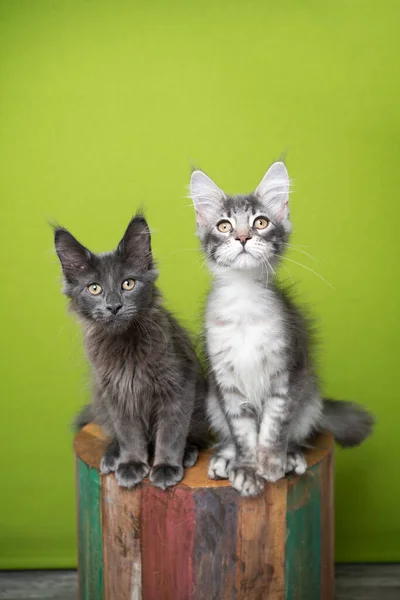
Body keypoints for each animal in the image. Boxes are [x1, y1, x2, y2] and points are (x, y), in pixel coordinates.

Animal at [54, 213, 208, 490]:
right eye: (94, 288)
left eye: (128, 284)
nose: (113, 306)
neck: (125, 345)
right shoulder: (117, 393)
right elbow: (129, 434)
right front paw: (132, 463)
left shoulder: (177, 387)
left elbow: (170, 433)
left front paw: (166, 466)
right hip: (101, 402)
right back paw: (113, 456)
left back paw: (188, 453)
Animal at [189, 163, 374, 496]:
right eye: (224, 226)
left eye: (260, 222)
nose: (243, 237)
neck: (245, 300)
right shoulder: (226, 382)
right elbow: (242, 430)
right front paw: (247, 468)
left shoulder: (287, 371)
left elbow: (274, 425)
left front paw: (271, 462)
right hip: (212, 402)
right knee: (227, 436)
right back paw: (225, 459)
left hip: (310, 397)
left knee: (298, 432)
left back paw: (291, 457)